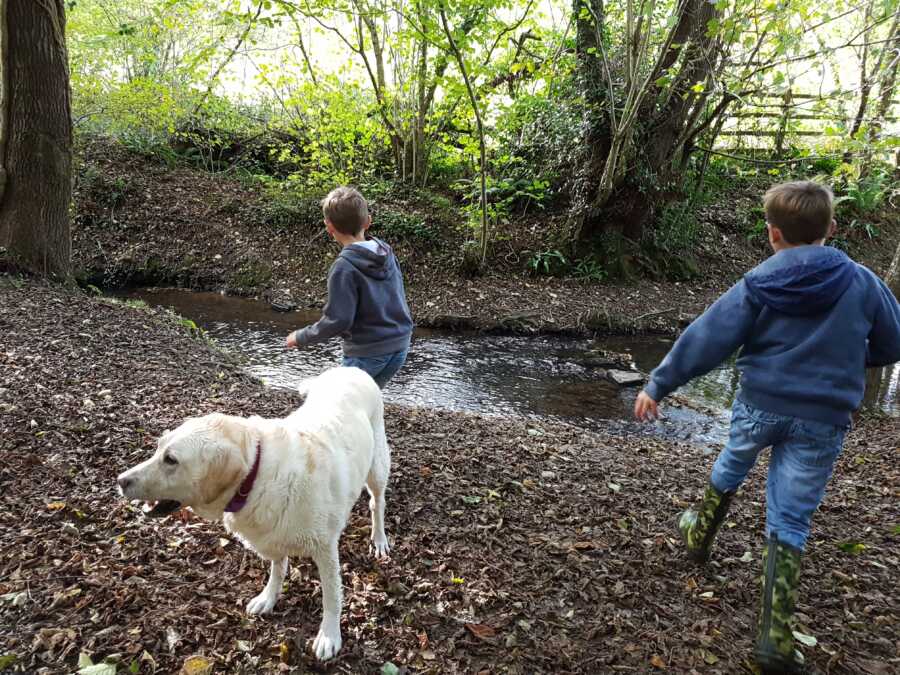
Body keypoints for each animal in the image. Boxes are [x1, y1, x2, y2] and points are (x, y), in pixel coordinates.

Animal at [116, 370, 390, 660]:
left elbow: (331, 596)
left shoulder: (325, 549)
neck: (255, 475)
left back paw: (379, 539)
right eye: (158, 448)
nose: (121, 480)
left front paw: (329, 635)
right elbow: (277, 569)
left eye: (171, 460)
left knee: (377, 503)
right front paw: (268, 598)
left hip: (377, 466)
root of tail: (351, 369)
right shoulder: (271, 536)